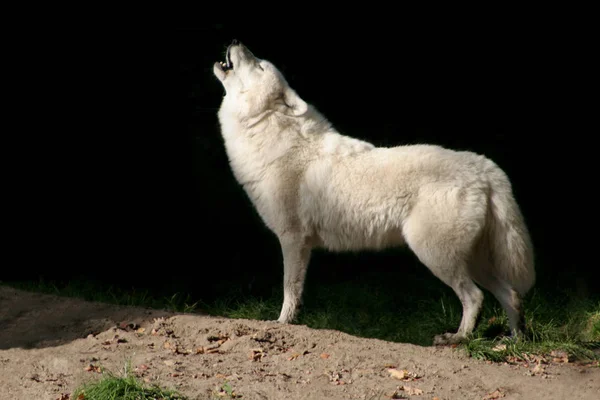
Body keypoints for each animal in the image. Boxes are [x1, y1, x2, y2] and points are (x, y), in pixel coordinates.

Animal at [213, 39, 536, 344]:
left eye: (259, 66)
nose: (236, 40)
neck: (272, 135)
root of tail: (485, 168)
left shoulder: (293, 239)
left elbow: (289, 291)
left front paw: (282, 324)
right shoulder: (300, 243)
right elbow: (295, 292)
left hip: (436, 255)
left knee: (475, 297)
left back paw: (457, 339)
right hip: (474, 262)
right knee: (511, 295)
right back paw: (512, 342)